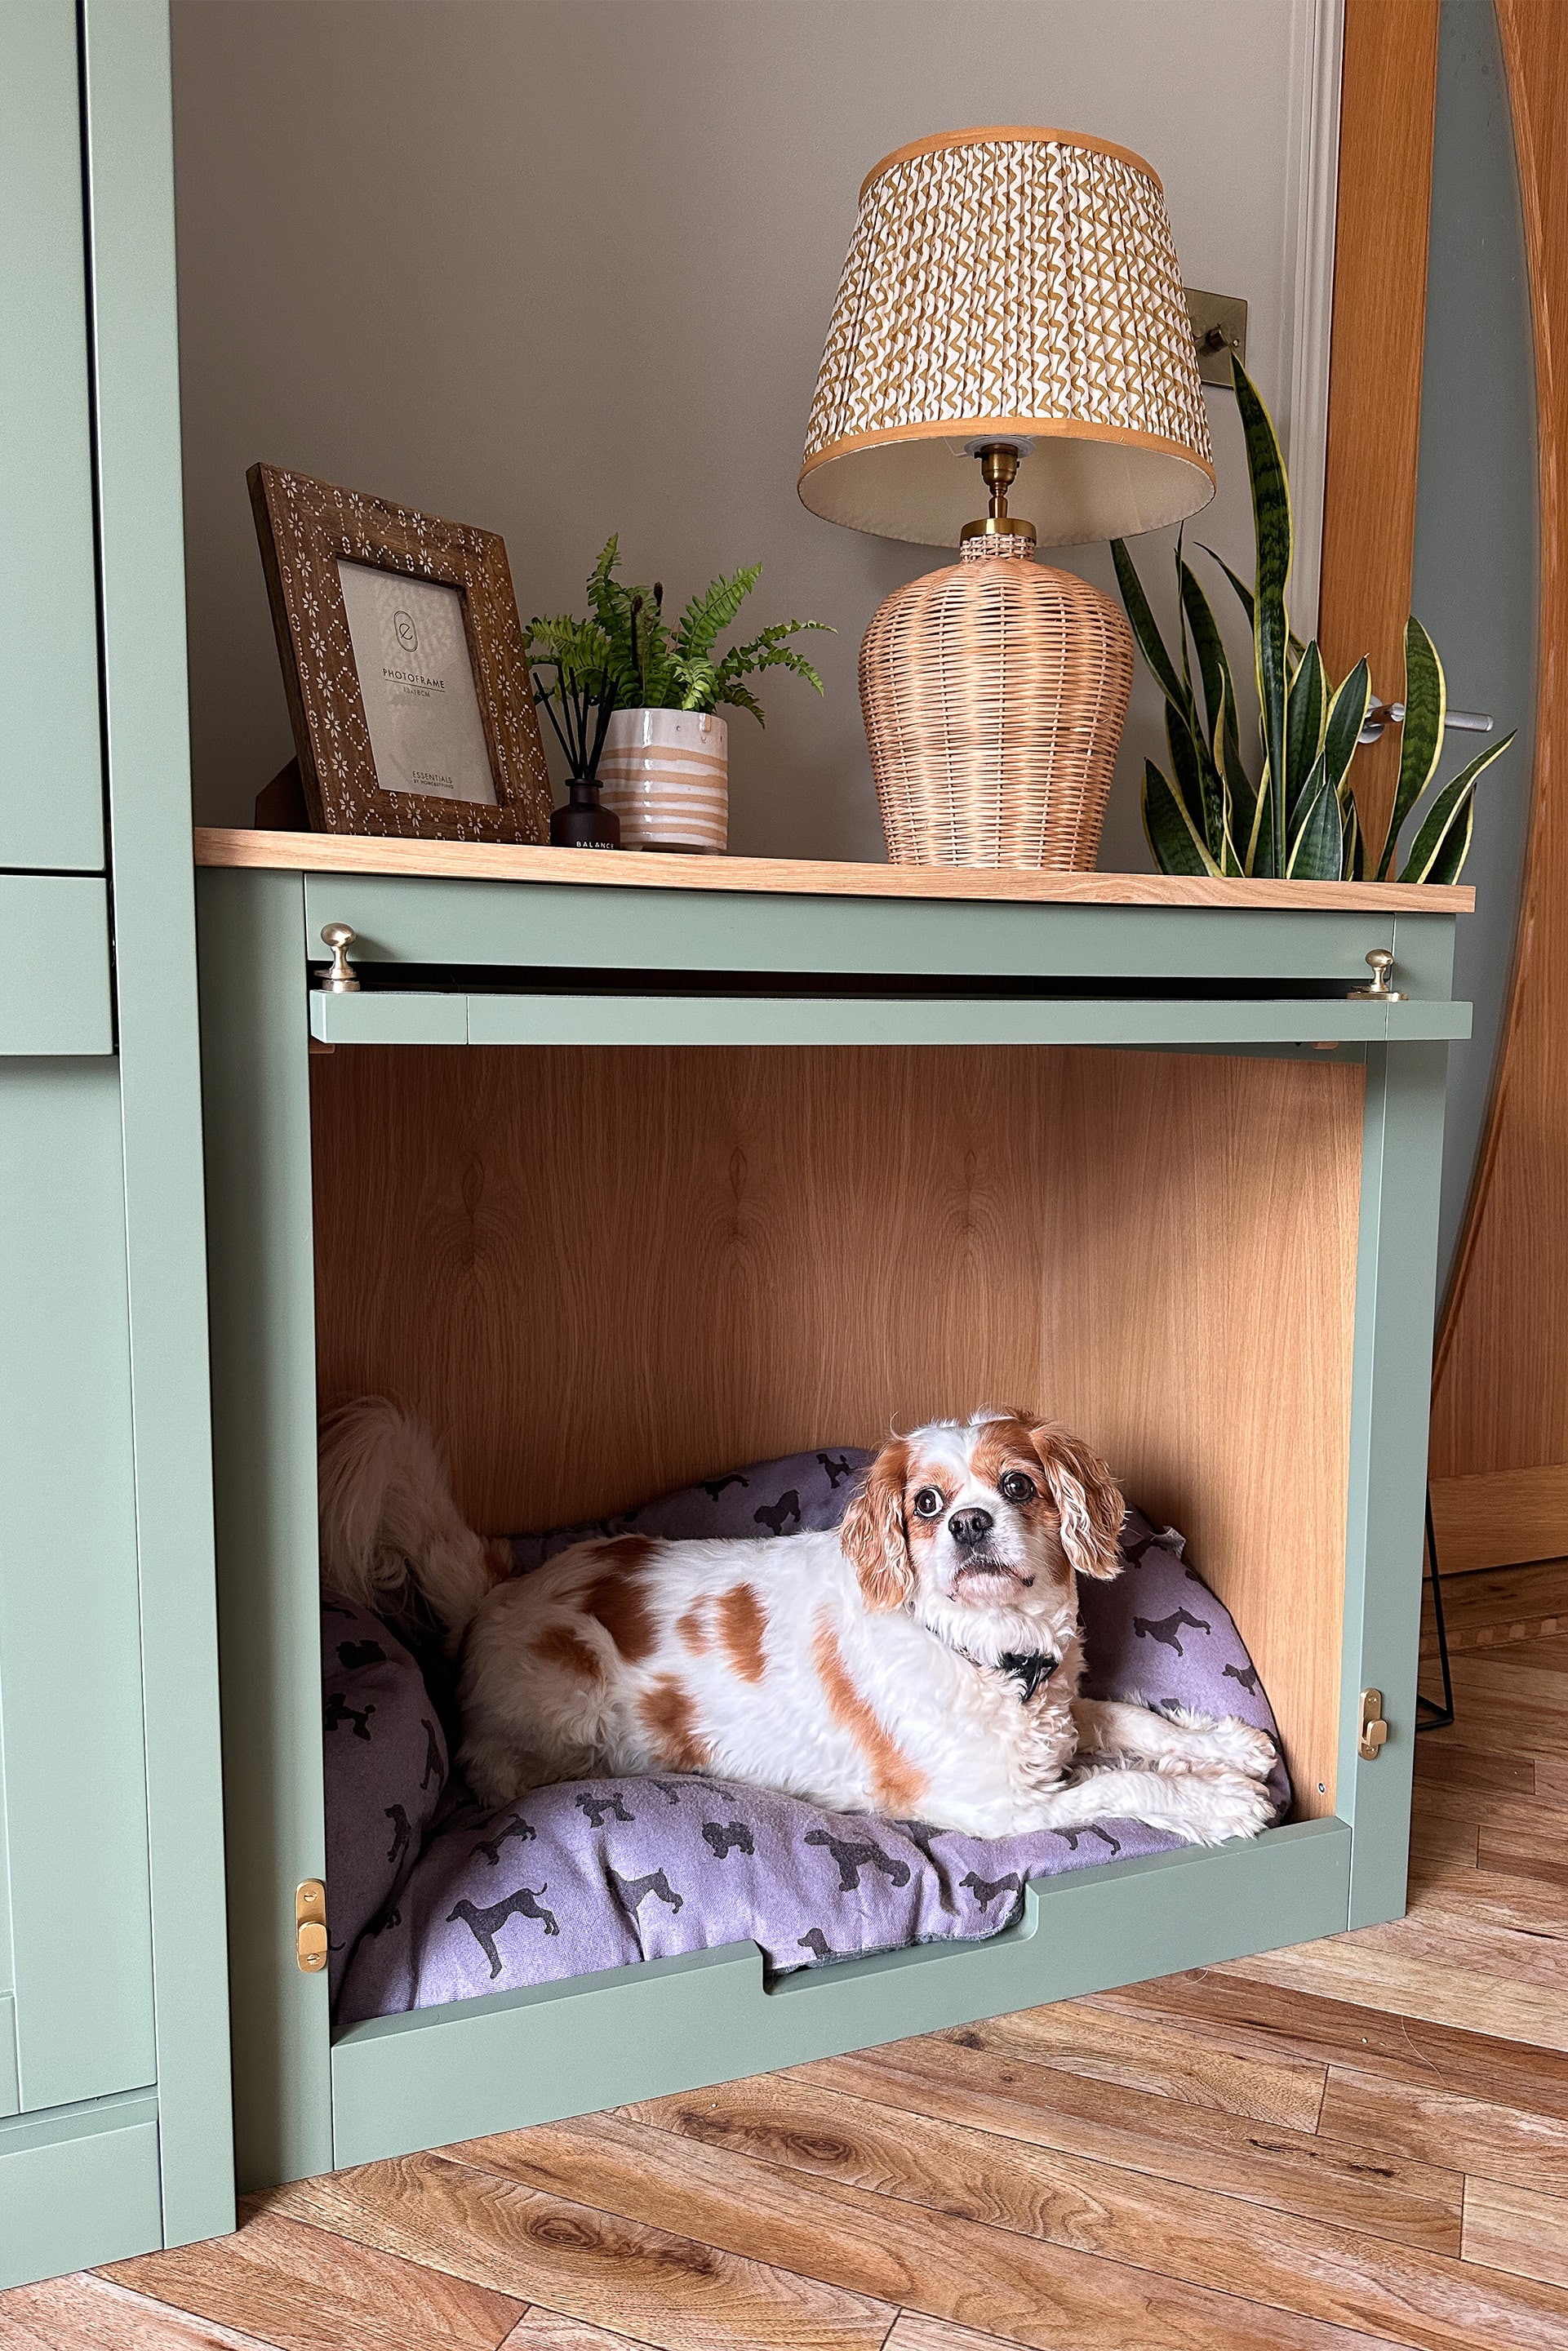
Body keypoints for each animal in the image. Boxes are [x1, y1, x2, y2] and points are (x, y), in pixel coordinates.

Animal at [314, 1391, 1278, 1833]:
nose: (968, 1523)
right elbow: (1118, 1782)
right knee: (491, 1765)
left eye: (1016, 1486)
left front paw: (1225, 1748)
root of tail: (496, 1592)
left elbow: (1125, 1719)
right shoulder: (995, 1809)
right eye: (925, 1504)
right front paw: (1221, 1802)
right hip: (570, 1685)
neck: (990, 1652)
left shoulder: (1053, 1715)